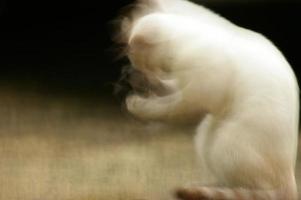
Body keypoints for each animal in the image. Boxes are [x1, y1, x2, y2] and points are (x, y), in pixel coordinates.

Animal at [114, 0, 298, 198]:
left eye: (133, 56)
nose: (131, 68)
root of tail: (290, 174)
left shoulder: (197, 94)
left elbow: (168, 108)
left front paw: (137, 104)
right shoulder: (182, 84)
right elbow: (167, 89)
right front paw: (142, 83)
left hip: (225, 144)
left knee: (264, 191)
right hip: (206, 138)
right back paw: (205, 187)